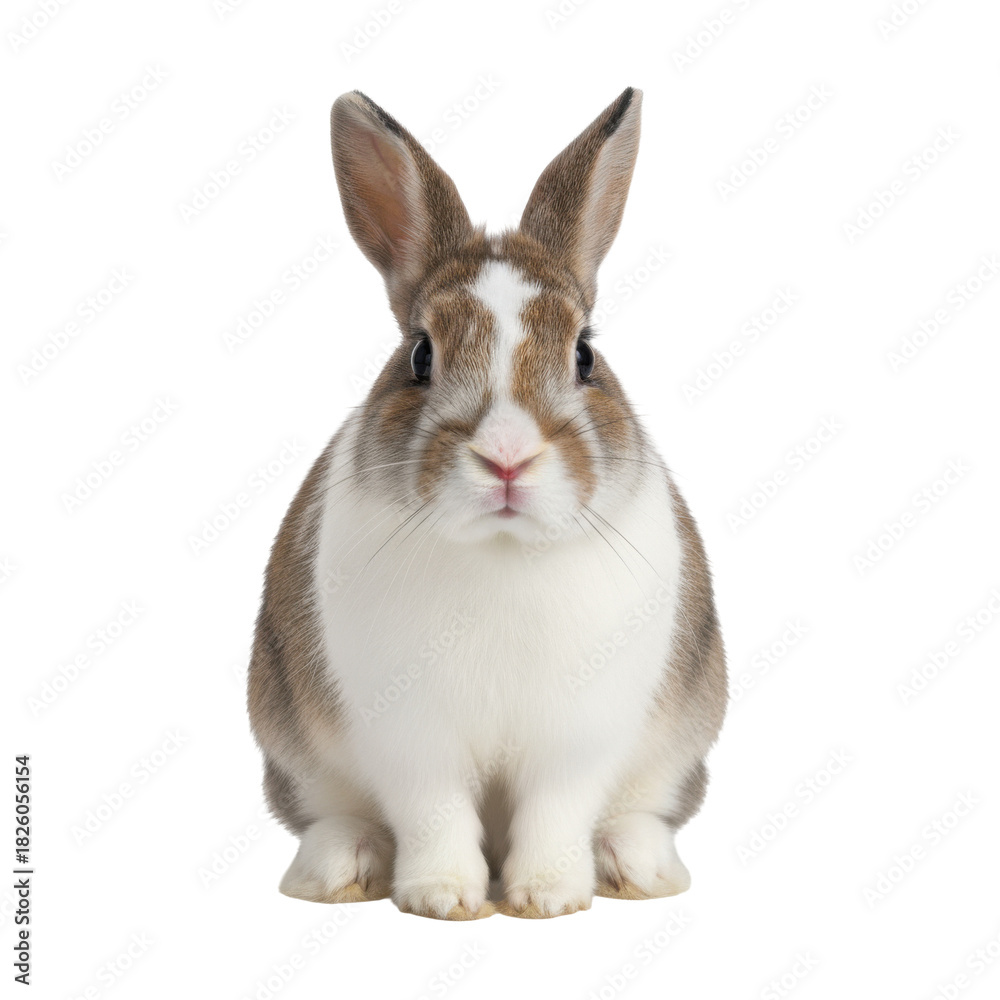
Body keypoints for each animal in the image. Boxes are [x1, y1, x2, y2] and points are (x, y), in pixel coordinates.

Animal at [247, 86, 726, 920]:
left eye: (585, 354)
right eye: (420, 354)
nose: (506, 456)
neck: (502, 551)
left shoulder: (578, 740)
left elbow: (556, 810)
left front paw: (547, 897)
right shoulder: (410, 737)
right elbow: (433, 812)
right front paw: (442, 897)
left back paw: (634, 867)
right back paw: (341, 870)